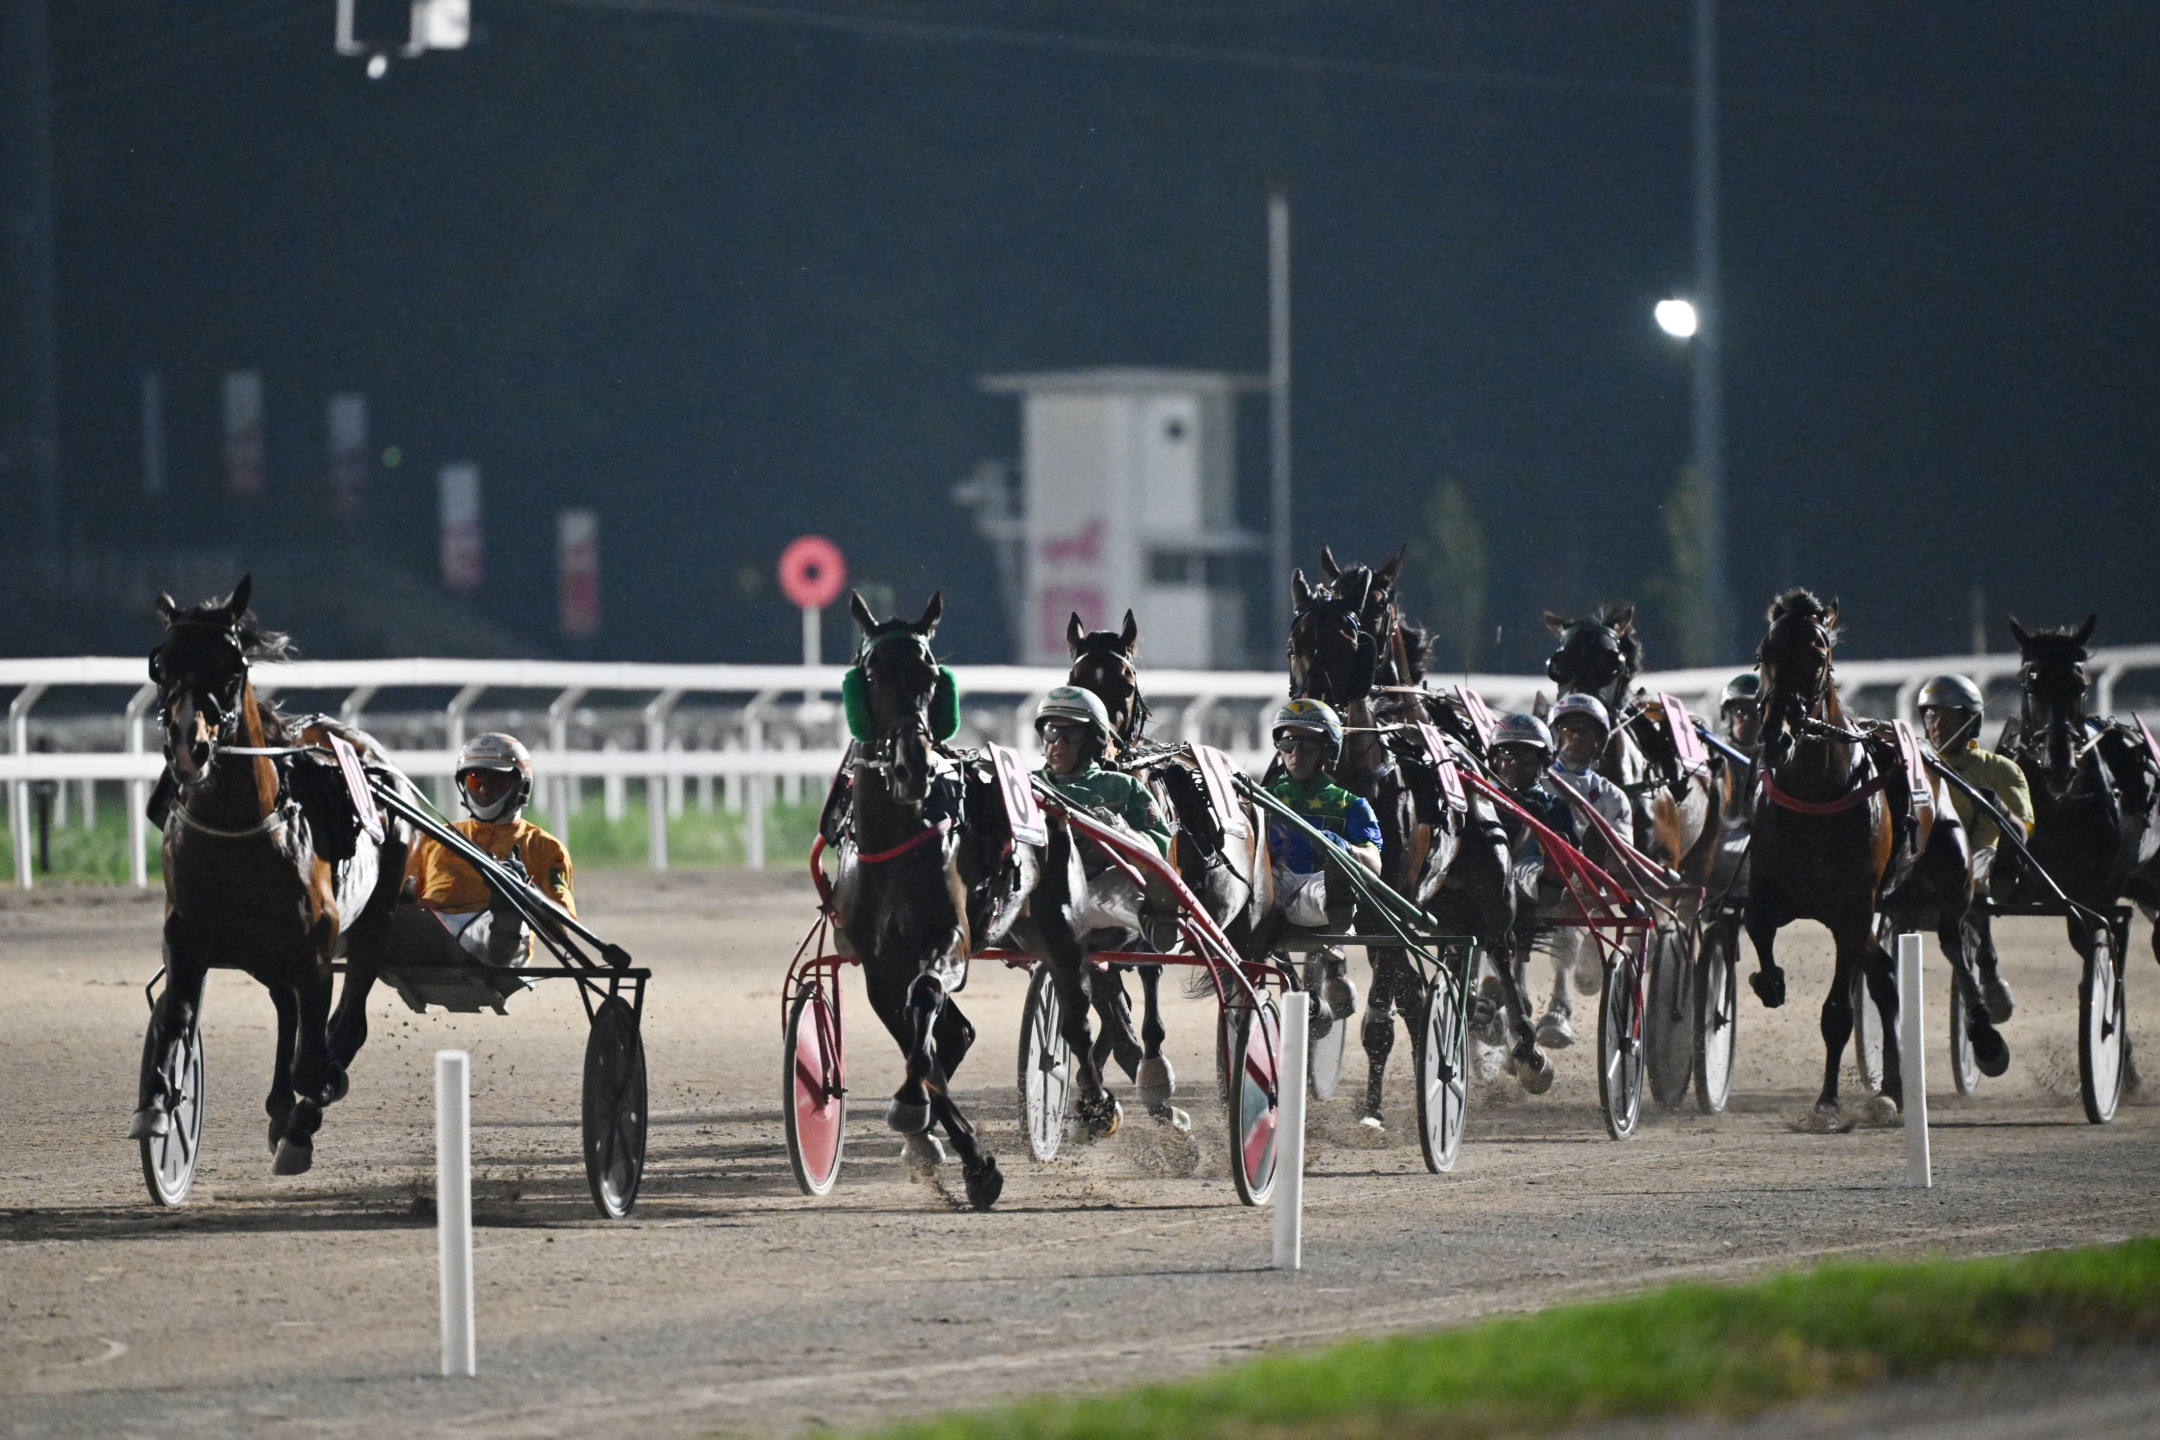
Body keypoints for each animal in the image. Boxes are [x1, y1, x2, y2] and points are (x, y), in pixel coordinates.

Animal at [129, 578, 412, 1174]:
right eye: (161, 665)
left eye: (231, 665)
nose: (189, 745)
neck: (239, 829)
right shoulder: (186, 938)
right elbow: (175, 1016)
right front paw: (159, 1103)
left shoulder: (317, 946)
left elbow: (316, 1055)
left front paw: (315, 1100)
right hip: (263, 952)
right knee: (287, 1008)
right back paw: (282, 1106)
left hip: (375, 918)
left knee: (347, 1020)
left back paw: (303, 1112)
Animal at [1278, 546, 1537, 1122]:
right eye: (1295, 639)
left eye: (1352, 639)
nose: (1308, 716)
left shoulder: (1392, 901)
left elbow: (1383, 1012)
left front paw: (1374, 1110)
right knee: (1417, 992)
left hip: (1488, 884)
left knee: (1501, 945)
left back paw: (1528, 1052)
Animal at [1745, 587, 1995, 1122]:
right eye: (1764, 653)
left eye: (1817, 656)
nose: (1776, 737)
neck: (1816, 794)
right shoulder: (1770, 890)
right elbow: (1758, 930)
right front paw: (1769, 982)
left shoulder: (1853, 910)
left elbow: (1838, 1012)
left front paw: (1826, 1103)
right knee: (1886, 981)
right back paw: (1895, 1087)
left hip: (1950, 877)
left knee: (1954, 945)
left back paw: (1986, 1039)